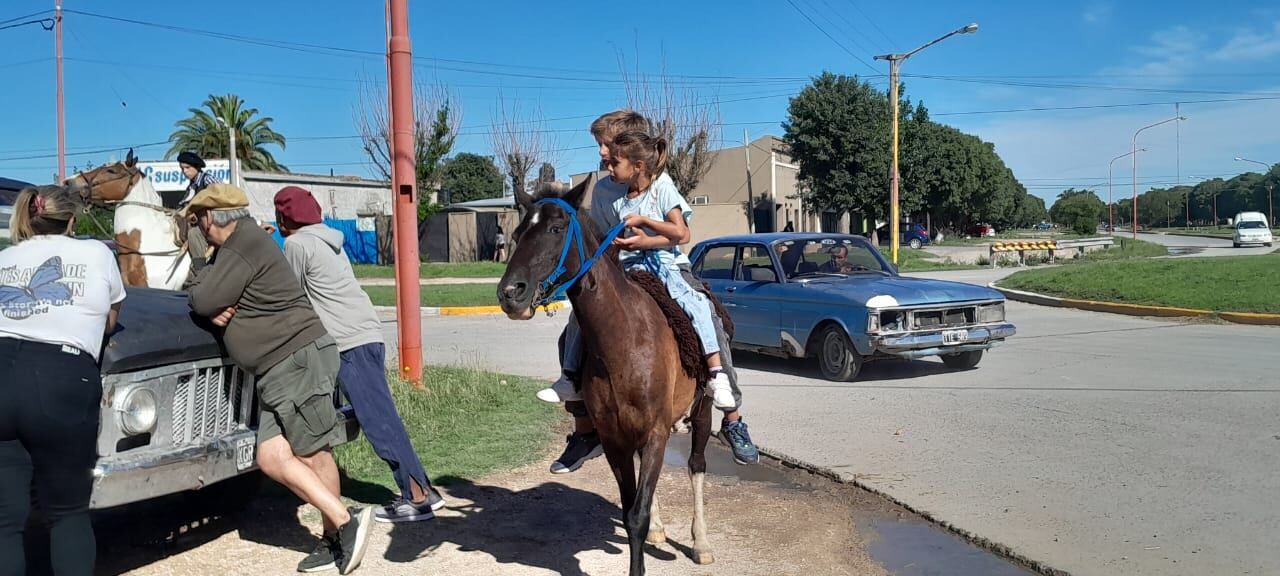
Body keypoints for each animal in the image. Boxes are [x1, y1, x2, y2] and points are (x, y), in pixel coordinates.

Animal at [496, 177, 716, 573]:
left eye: (556, 228)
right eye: (518, 233)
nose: (510, 293)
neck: (626, 341)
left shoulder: (656, 432)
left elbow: (637, 514)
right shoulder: (616, 439)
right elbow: (631, 511)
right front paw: (649, 532)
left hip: (702, 410)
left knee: (696, 466)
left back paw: (701, 542)